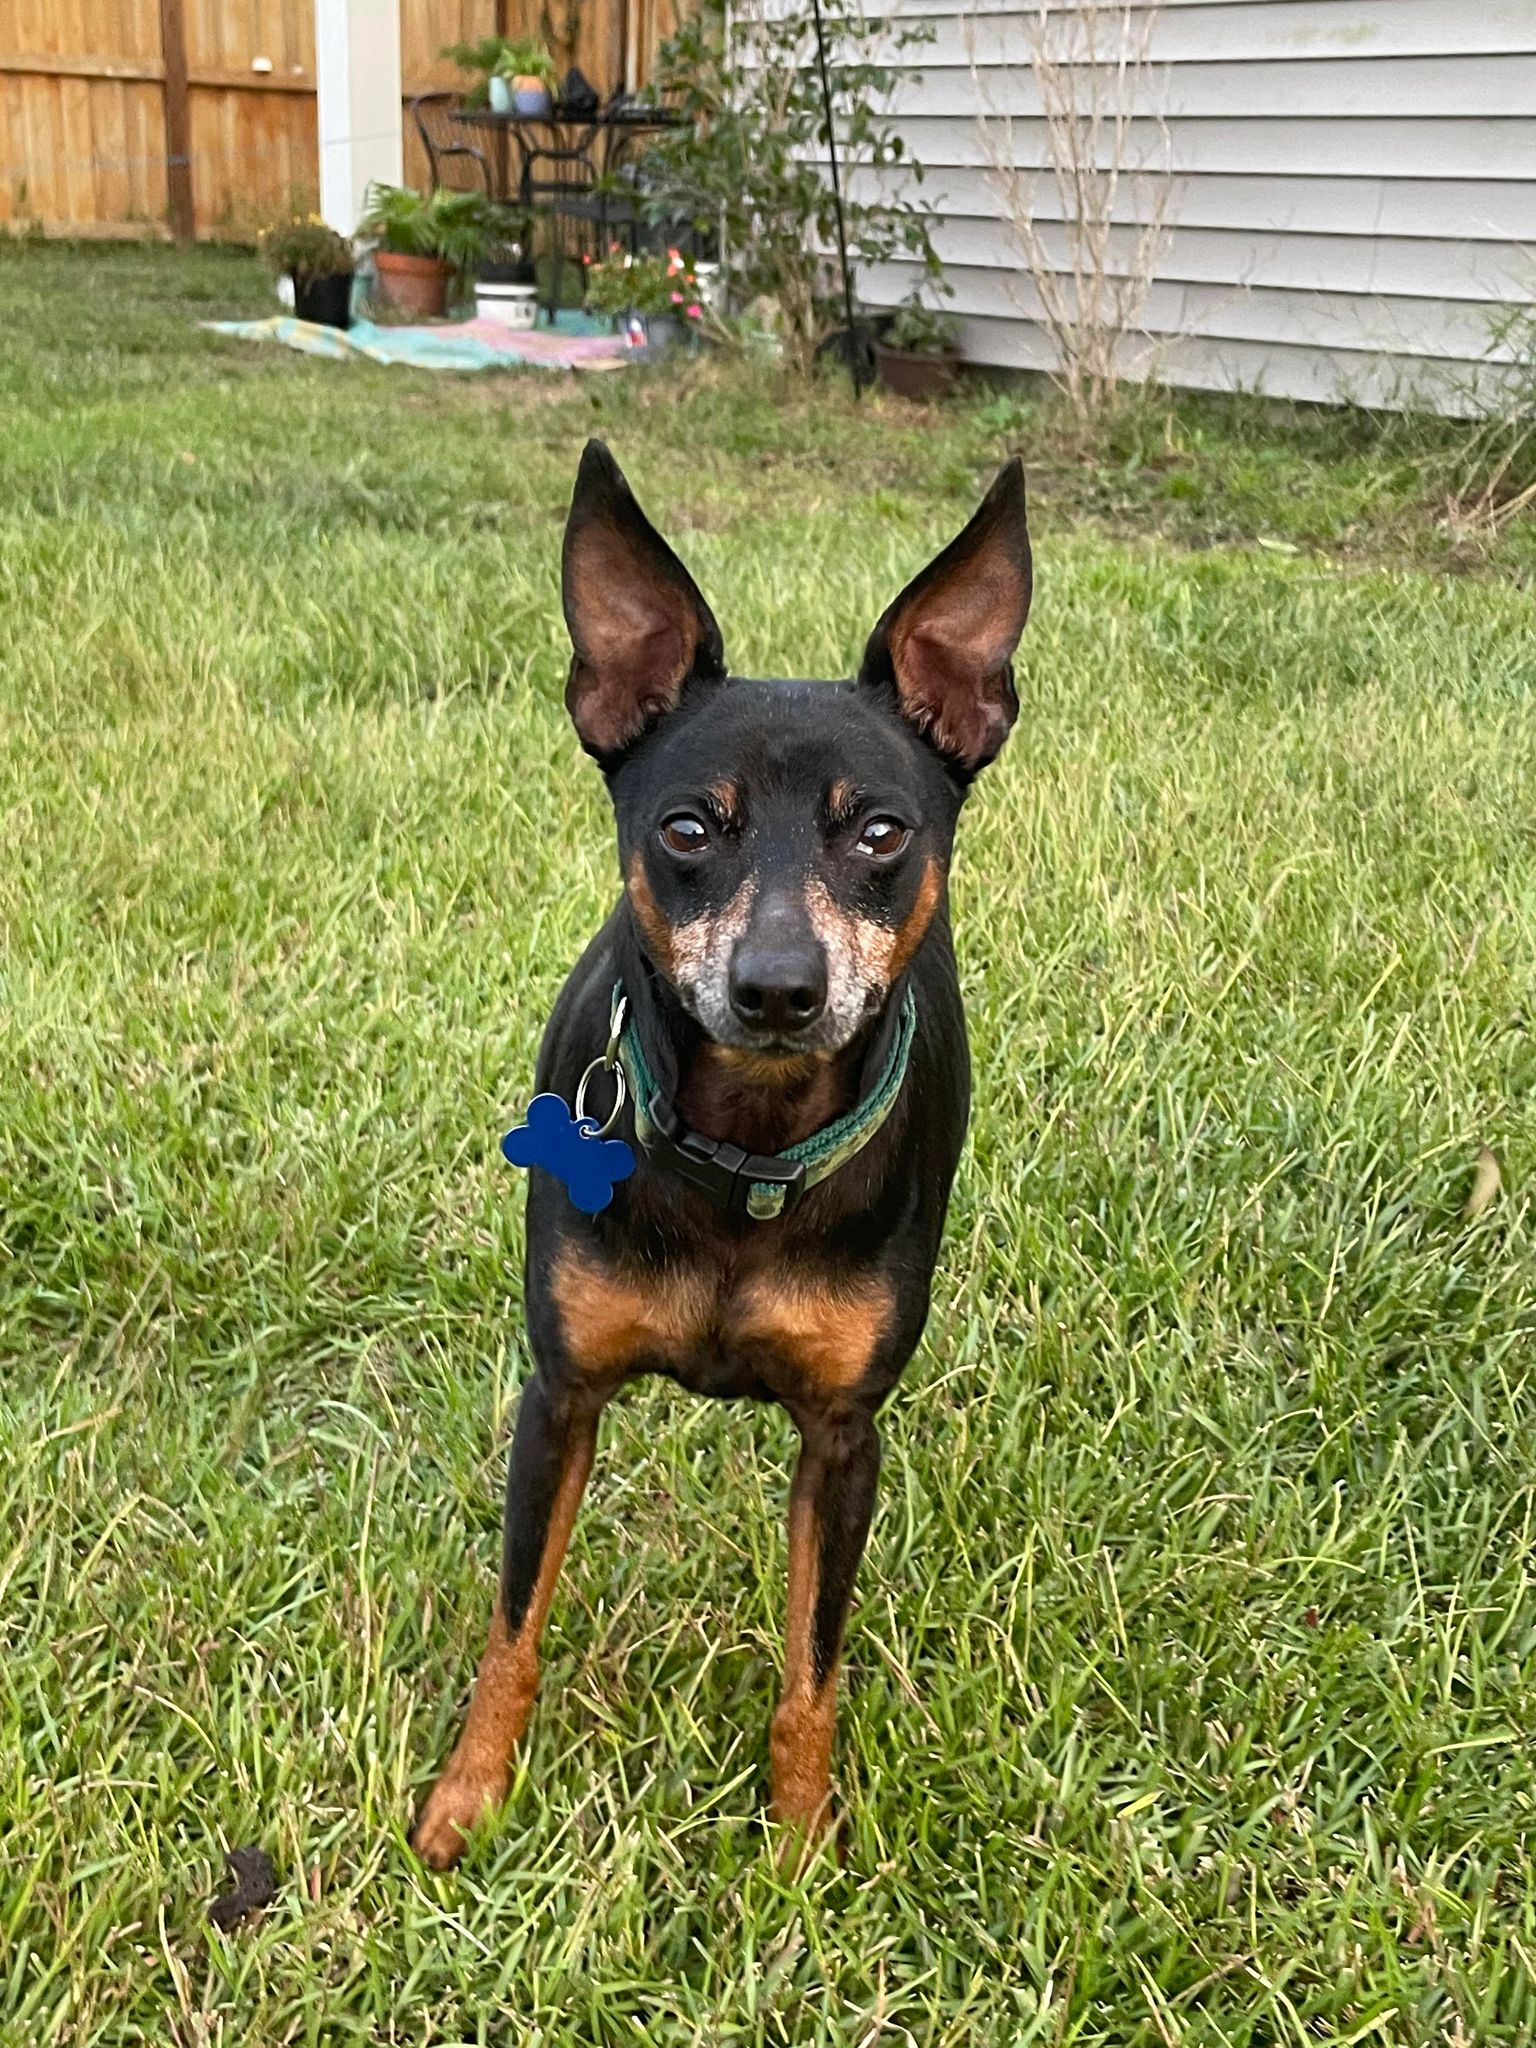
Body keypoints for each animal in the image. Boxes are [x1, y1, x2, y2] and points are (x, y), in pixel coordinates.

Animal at [411, 440, 1036, 1867]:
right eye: (689, 828)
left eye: (880, 832)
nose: (778, 987)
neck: (746, 1147)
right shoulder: (559, 1397)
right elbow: (513, 1626)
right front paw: (470, 1796)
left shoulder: (845, 1439)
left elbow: (815, 1663)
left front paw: (799, 1844)